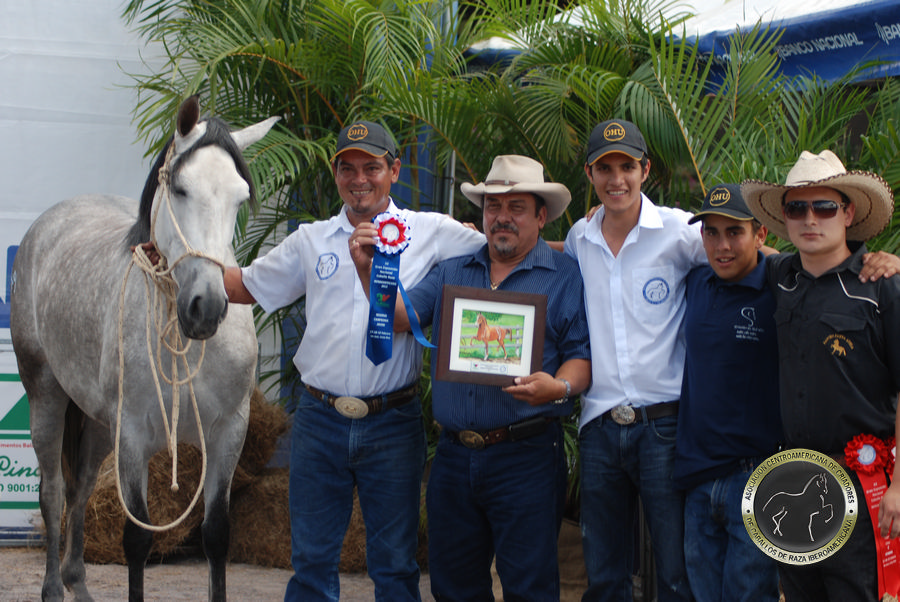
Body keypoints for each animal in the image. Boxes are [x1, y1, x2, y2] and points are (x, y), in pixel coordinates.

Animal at [10, 96, 278, 602]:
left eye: (239, 197)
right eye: (181, 190)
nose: (207, 307)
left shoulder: (227, 435)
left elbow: (216, 536)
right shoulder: (133, 437)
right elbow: (136, 539)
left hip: (98, 425)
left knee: (79, 491)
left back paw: (78, 585)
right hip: (47, 397)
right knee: (53, 493)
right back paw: (54, 588)